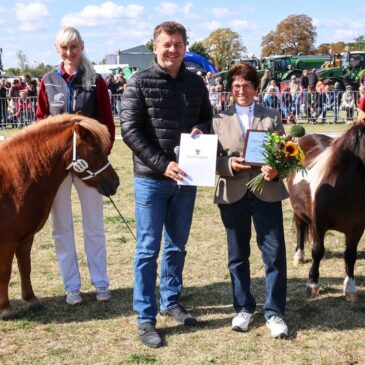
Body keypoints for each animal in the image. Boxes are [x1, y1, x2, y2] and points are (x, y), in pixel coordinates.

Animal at [0, 114, 119, 318]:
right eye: (95, 149)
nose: (116, 182)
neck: (15, 177)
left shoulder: (25, 238)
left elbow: (25, 267)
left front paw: (31, 299)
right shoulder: (7, 241)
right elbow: (6, 272)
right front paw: (5, 308)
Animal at [286, 121, 364, 300]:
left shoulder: (357, 228)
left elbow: (350, 255)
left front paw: (350, 288)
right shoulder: (318, 224)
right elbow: (317, 251)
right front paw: (312, 284)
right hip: (298, 210)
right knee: (300, 228)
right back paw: (299, 256)